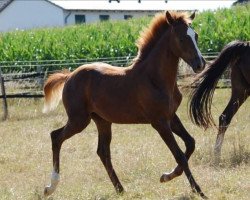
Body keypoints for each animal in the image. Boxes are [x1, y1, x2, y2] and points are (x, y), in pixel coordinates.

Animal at [43, 11, 207, 198]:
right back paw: (50, 187)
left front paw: (166, 176)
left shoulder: (171, 116)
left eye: (196, 36)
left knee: (103, 152)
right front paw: (199, 191)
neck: (155, 78)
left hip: (102, 121)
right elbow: (179, 155)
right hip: (79, 120)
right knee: (56, 137)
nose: (200, 64)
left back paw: (120, 189)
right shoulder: (159, 122)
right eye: (181, 38)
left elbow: (191, 143)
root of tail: (69, 76)